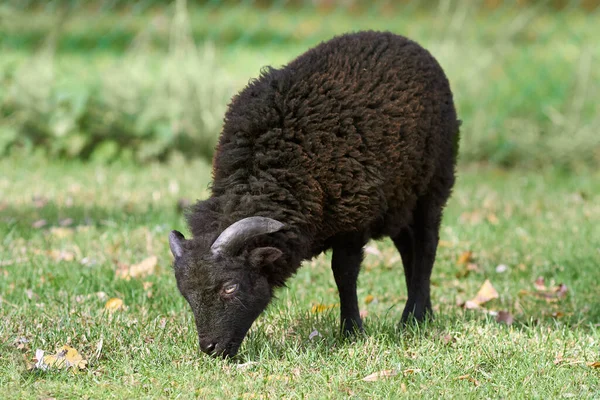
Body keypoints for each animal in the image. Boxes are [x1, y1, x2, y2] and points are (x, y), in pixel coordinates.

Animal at [169, 30, 460, 356]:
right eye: (186, 295)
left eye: (230, 287)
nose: (211, 348)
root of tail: (401, 38)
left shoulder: (354, 218)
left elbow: (343, 274)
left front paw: (351, 331)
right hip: (399, 200)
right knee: (408, 250)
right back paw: (421, 315)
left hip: (434, 183)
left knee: (426, 247)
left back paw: (415, 318)